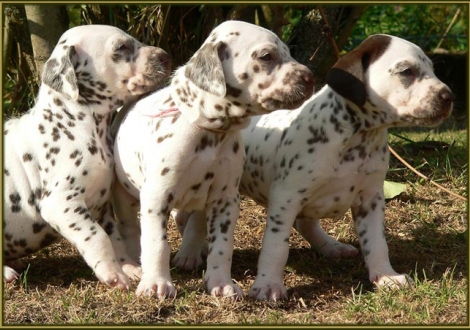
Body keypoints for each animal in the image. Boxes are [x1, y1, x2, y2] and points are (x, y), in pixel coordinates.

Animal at [2, 25, 172, 288]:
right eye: (121, 47)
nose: (166, 56)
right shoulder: (62, 204)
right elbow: (97, 237)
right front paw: (113, 275)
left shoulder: (102, 206)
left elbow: (114, 238)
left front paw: (128, 267)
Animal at [112, 20, 314, 300]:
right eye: (266, 56)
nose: (310, 78)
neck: (208, 132)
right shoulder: (156, 196)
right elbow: (156, 244)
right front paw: (156, 284)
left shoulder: (225, 199)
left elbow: (222, 245)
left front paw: (220, 283)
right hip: (124, 194)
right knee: (132, 228)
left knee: (194, 223)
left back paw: (190, 253)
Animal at [175, 34, 452, 302]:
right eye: (407, 71)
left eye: (433, 69)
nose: (448, 97)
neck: (357, 138)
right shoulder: (285, 199)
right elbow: (276, 247)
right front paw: (268, 285)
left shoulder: (371, 200)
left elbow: (376, 242)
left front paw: (386, 276)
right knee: (196, 221)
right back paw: (190, 252)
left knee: (306, 225)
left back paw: (331, 246)